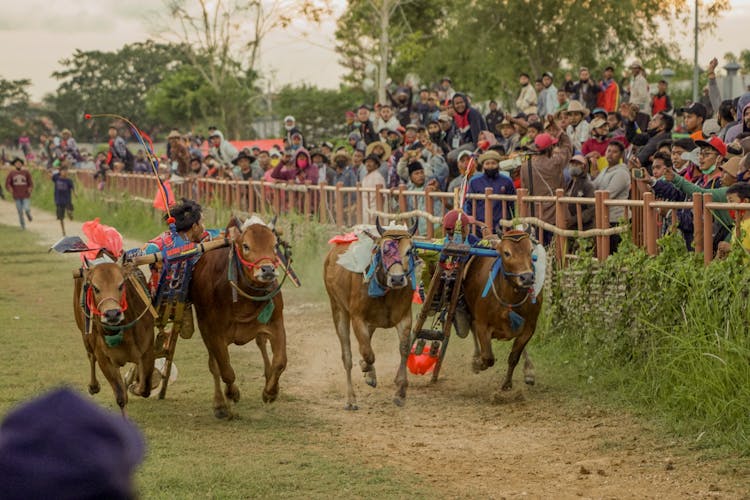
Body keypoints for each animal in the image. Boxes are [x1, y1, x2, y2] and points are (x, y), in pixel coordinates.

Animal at [73, 262, 156, 414]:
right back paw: (93, 386)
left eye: (121, 285)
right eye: (95, 288)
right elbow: (121, 398)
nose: (112, 314)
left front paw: (134, 385)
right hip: (84, 335)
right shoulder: (105, 360)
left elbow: (145, 388)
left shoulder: (147, 351)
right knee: (90, 356)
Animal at [191, 218, 288, 418]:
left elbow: (280, 362)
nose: (267, 269)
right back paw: (220, 404)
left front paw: (270, 392)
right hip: (205, 331)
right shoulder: (214, 333)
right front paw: (231, 394)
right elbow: (225, 370)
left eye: (275, 245)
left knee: (261, 344)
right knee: (214, 366)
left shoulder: (276, 324)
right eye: (246, 246)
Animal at [324, 219, 420, 410]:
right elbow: (368, 352)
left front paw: (400, 391)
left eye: (409, 251)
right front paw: (367, 369)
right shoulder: (358, 318)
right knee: (348, 355)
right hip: (338, 308)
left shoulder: (405, 317)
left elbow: (404, 349)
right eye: (384, 251)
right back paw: (351, 398)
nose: (397, 279)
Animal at [462, 230, 544, 390]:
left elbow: (513, 357)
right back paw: (476, 358)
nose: (527, 277)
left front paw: (507, 383)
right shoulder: (482, 324)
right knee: (473, 329)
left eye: (531, 250)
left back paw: (528, 370)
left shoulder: (529, 327)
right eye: (506, 253)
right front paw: (479, 363)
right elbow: (488, 357)